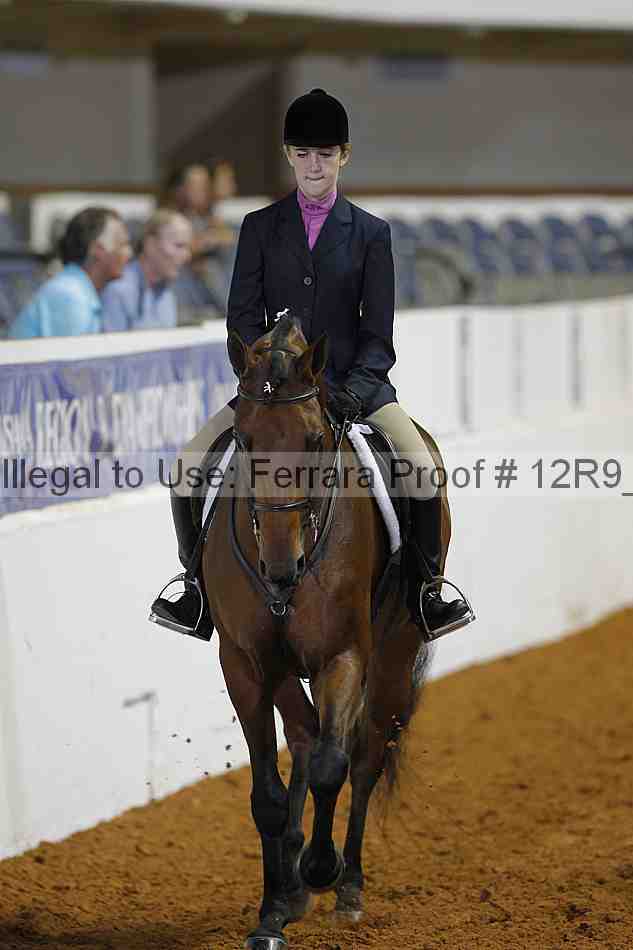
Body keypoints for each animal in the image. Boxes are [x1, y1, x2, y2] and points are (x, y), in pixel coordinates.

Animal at [203, 315, 447, 949]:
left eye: (315, 440)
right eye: (245, 441)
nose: (281, 569)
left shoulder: (344, 656)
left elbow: (335, 766)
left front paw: (320, 868)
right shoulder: (245, 664)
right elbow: (268, 792)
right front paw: (271, 912)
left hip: (394, 652)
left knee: (363, 755)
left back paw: (347, 887)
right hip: (286, 670)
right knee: (307, 736)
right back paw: (290, 891)